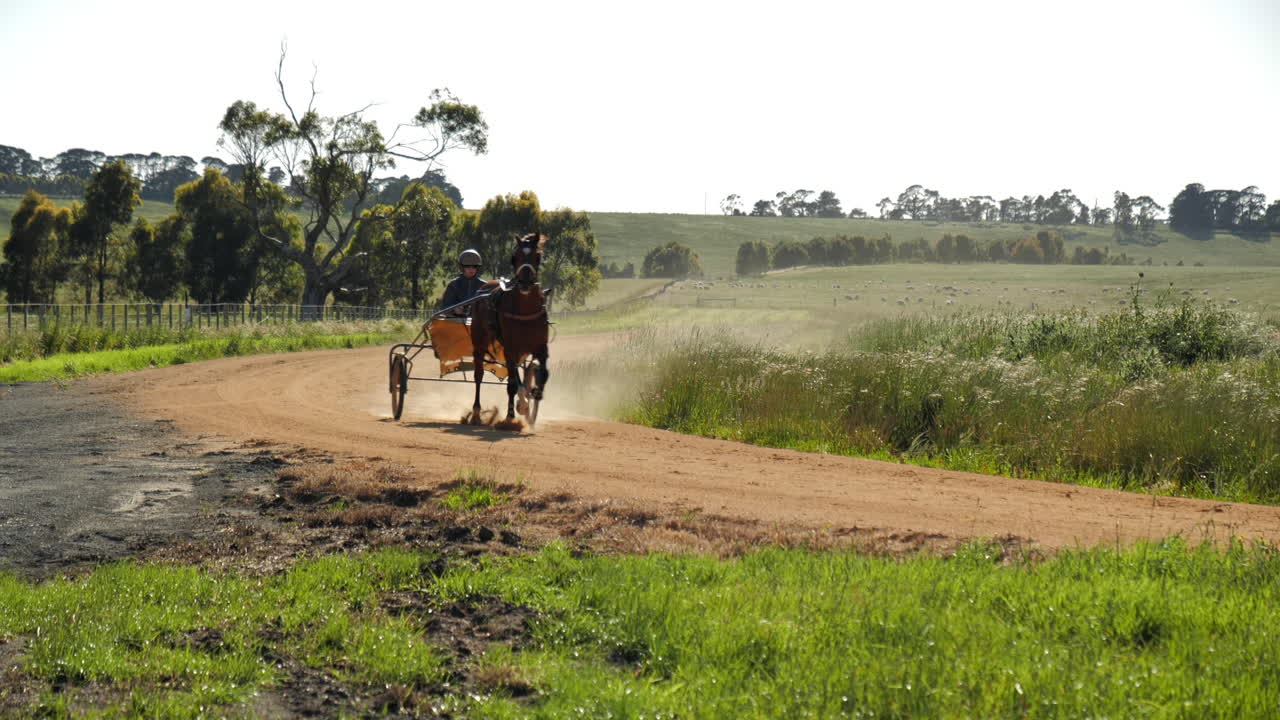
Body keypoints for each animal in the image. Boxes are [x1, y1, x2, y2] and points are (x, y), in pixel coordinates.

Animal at [468, 233, 550, 425]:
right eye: (514, 257)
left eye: (537, 256)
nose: (525, 283)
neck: (525, 311)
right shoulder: (510, 348)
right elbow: (512, 385)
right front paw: (510, 416)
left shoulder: (540, 347)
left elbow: (542, 372)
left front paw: (534, 394)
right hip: (480, 343)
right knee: (479, 375)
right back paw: (476, 413)